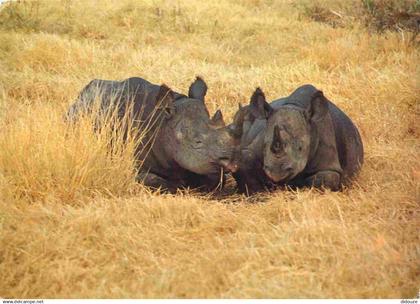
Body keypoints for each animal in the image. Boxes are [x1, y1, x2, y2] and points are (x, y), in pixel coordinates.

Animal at [67, 76, 235, 191]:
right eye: (197, 142)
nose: (231, 162)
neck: (163, 124)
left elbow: (215, 178)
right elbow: (155, 180)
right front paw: (178, 184)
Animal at [228, 84, 362, 194]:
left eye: (300, 148)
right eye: (265, 145)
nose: (276, 172)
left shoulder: (329, 162)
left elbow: (326, 178)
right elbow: (245, 161)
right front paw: (261, 194)